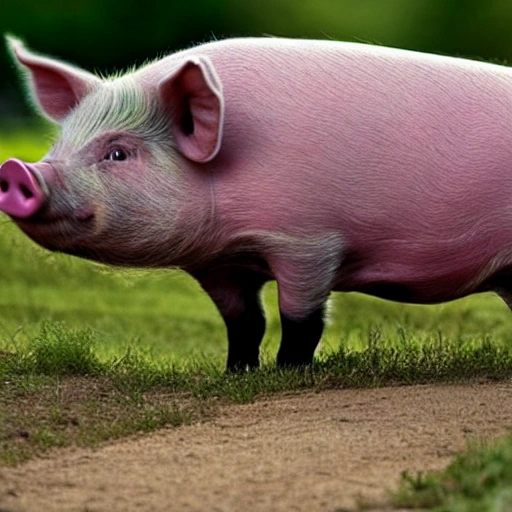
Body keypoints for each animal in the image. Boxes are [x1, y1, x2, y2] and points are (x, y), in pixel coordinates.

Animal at [1, 37, 512, 372]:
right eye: (59, 144)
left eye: (118, 153)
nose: (19, 169)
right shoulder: (217, 263)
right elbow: (244, 320)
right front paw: (236, 373)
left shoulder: (308, 241)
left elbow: (301, 317)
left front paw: (289, 372)